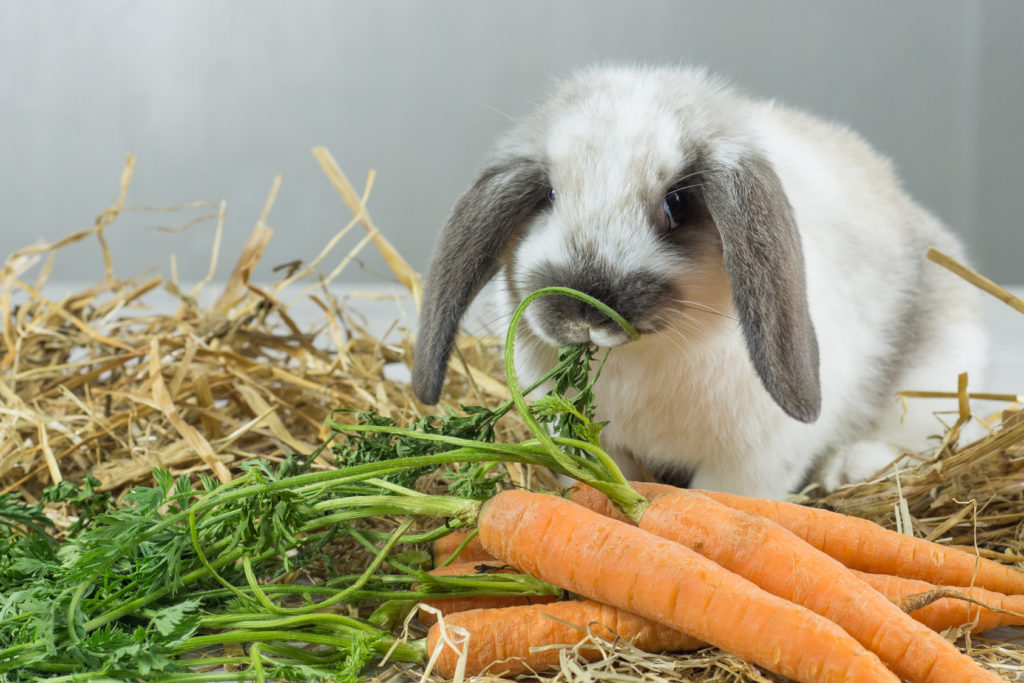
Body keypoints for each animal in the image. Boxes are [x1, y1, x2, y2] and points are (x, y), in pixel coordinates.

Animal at [411, 65, 987, 500]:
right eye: (548, 194)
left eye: (678, 203)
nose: (585, 311)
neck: (640, 358)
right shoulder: (597, 442)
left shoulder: (751, 462)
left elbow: (719, 500)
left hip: (934, 379)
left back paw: (848, 469)